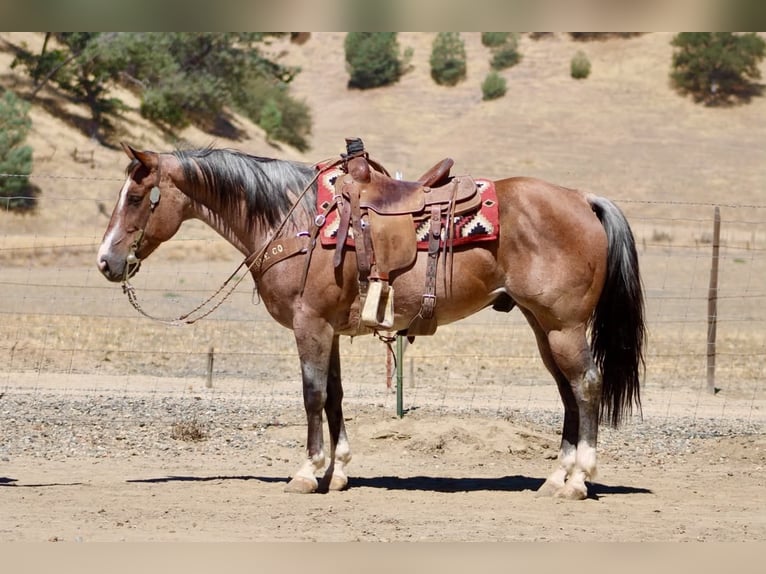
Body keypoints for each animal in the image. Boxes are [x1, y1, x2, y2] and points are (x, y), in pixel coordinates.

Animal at [97, 142, 645, 500]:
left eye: (134, 197)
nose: (106, 262)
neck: (297, 222)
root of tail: (582, 199)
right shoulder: (329, 329)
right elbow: (335, 397)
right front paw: (337, 473)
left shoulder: (310, 325)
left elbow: (312, 395)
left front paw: (307, 472)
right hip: (541, 325)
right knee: (567, 391)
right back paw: (555, 478)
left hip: (563, 325)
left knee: (586, 385)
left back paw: (578, 481)